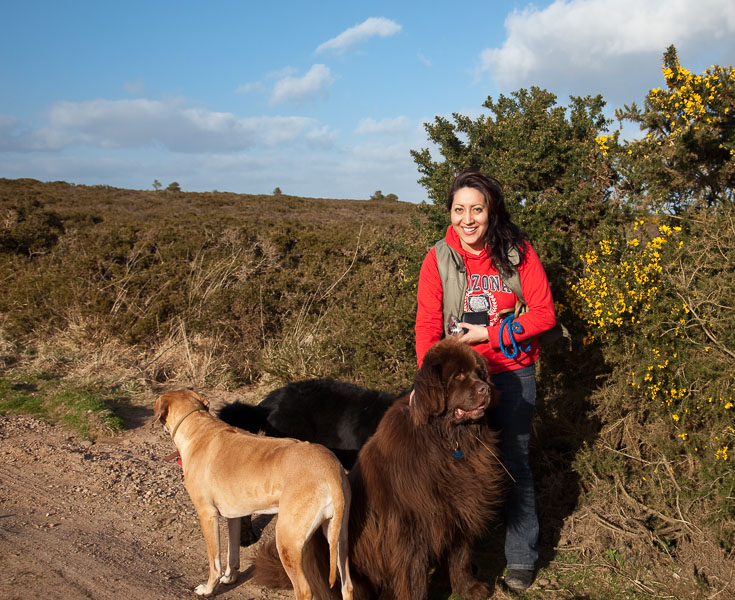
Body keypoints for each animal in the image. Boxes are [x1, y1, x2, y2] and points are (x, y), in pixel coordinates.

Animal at [152, 386, 354, 596]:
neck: (198, 427)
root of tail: (331, 472)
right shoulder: (233, 516)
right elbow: (232, 553)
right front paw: (229, 577)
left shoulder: (207, 515)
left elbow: (214, 562)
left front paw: (208, 589)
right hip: (338, 537)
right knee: (347, 585)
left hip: (287, 541)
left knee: (305, 590)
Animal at [253, 340, 506, 596]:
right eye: (459, 376)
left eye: (480, 374)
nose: (486, 389)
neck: (447, 440)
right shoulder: (410, 526)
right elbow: (414, 574)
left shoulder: (458, 507)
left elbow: (460, 556)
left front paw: (469, 589)